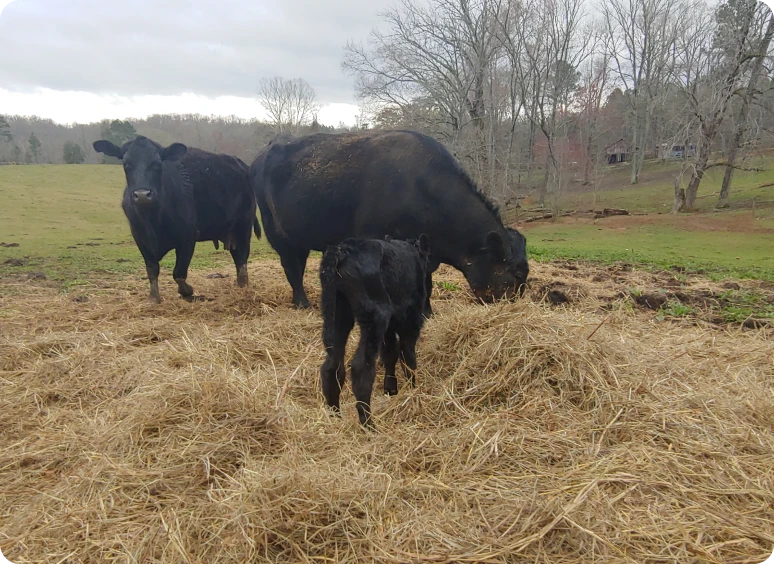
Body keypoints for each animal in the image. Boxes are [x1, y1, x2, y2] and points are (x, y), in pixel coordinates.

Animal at [93, 135, 259, 303]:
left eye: (157, 163)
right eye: (126, 163)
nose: (142, 195)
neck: (152, 220)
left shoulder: (188, 237)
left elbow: (178, 272)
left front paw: (187, 291)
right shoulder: (139, 237)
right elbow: (152, 269)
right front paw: (154, 297)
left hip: (244, 224)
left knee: (242, 257)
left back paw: (243, 285)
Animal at [249, 130, 529, 313]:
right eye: (516, 273)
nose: (516, 304)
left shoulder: (425, 252)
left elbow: (425, 283)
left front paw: (426, 312)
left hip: (300, 238)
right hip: (277, 233)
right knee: (291, 268)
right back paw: (302, 303)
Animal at [319, 234, 431, 429]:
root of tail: (341, 251)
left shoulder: (390, 326)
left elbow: (390, 354)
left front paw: (391, 389)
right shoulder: (412, 318)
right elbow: (407, 355)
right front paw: (412, 389)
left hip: (337, 314)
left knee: (331, 366)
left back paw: (334, 417)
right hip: (376, 316)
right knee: (361, 367)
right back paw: (369, 424)